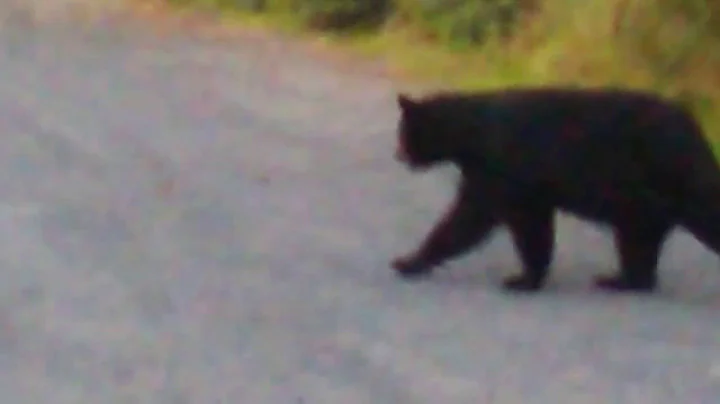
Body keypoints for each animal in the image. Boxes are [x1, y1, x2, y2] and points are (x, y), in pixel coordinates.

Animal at [390, 87, 720, 292]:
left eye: (403, 134)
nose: (398, 155)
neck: (470, 135)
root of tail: (696, 132)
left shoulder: (502, 171)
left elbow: (471, 219)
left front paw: (407, 262)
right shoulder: (520, 188)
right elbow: (528, 227)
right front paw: (528, 277)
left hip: (668, 182)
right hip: (642, 205)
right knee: (638, 242)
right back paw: (621, 280)